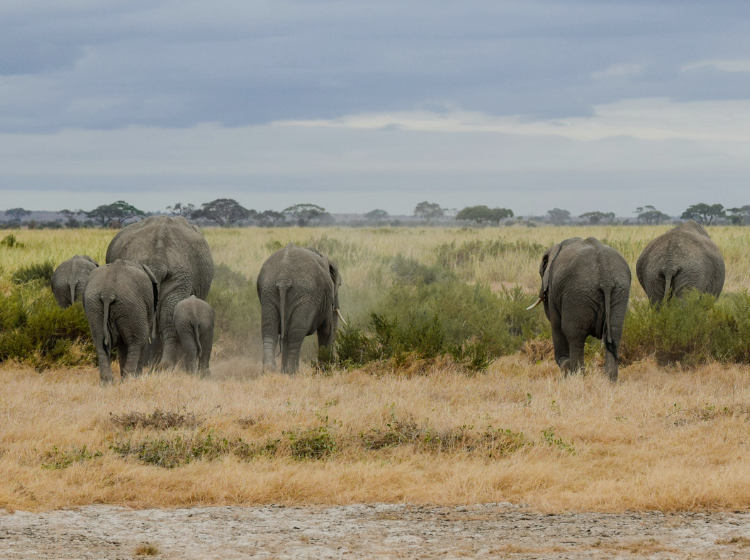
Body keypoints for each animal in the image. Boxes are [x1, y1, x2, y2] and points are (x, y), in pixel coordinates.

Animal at [105, 215, 214, 368]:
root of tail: (158, 259)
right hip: (179, 274)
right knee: (168, 313)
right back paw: (164, 365)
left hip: (174, 275)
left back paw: (160, 365)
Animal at [257, 243, 343, 373]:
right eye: (339, 284)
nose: (334, 362)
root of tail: (283, 279)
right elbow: (326, 329)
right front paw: (325, 371)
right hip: (305, 295)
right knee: (296, 333)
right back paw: (293, 372)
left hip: (268, 291)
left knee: (269, 330)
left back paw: (269, 372)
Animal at [528, 237, 631, 381]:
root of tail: (605, 276)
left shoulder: (553, 290)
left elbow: (556, 325)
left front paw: (565, 368)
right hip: (620, 290)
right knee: (614, 333)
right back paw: (609, 379)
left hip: (578, 292)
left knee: (574, 334)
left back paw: (577, 375)